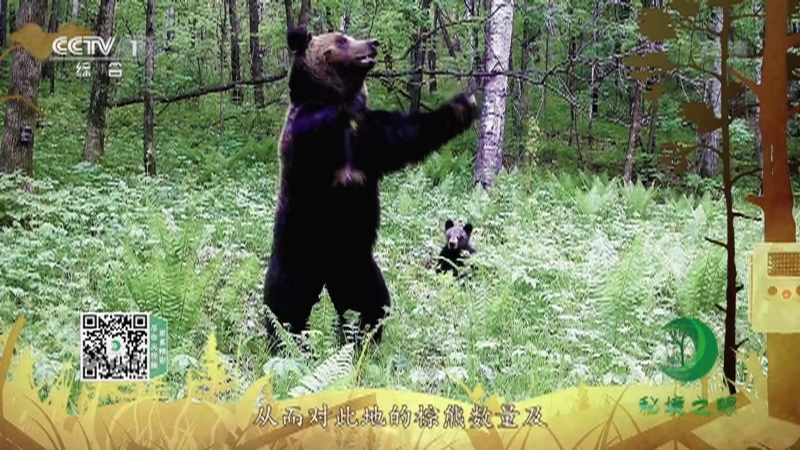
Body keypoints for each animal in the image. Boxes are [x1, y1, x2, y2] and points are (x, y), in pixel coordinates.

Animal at [263, 27, 479, 352]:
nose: (372, 43)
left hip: (355, 264)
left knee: (372, 303)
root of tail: (326, 276)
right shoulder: (308, 146)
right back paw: (285, 344)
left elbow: (409, 135)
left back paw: (363, 341)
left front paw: (465, 104)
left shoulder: (370, 142)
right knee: (284, 307)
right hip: (299, 252)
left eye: (349, 36)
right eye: (341, 40)